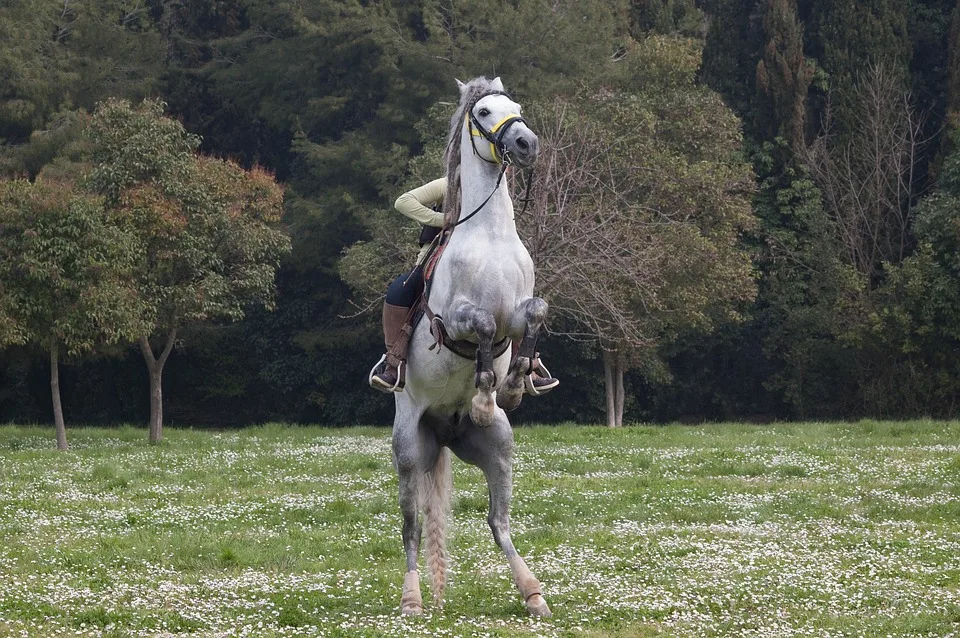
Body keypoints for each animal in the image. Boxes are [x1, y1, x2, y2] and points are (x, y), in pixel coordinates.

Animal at [392, 76, 556, 620]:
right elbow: (482, 325)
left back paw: (533, 592)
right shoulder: (457, 319)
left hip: (498, 449)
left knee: (497, 522)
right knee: (412, 526)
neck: (491, 236)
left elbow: (534, 313)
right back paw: (413, 599)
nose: (526, 144)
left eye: (517, 106)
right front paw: (485, 394)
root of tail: (442, 432)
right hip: (408, 451)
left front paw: (519, 378)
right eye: (483, 112)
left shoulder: (520, 309)